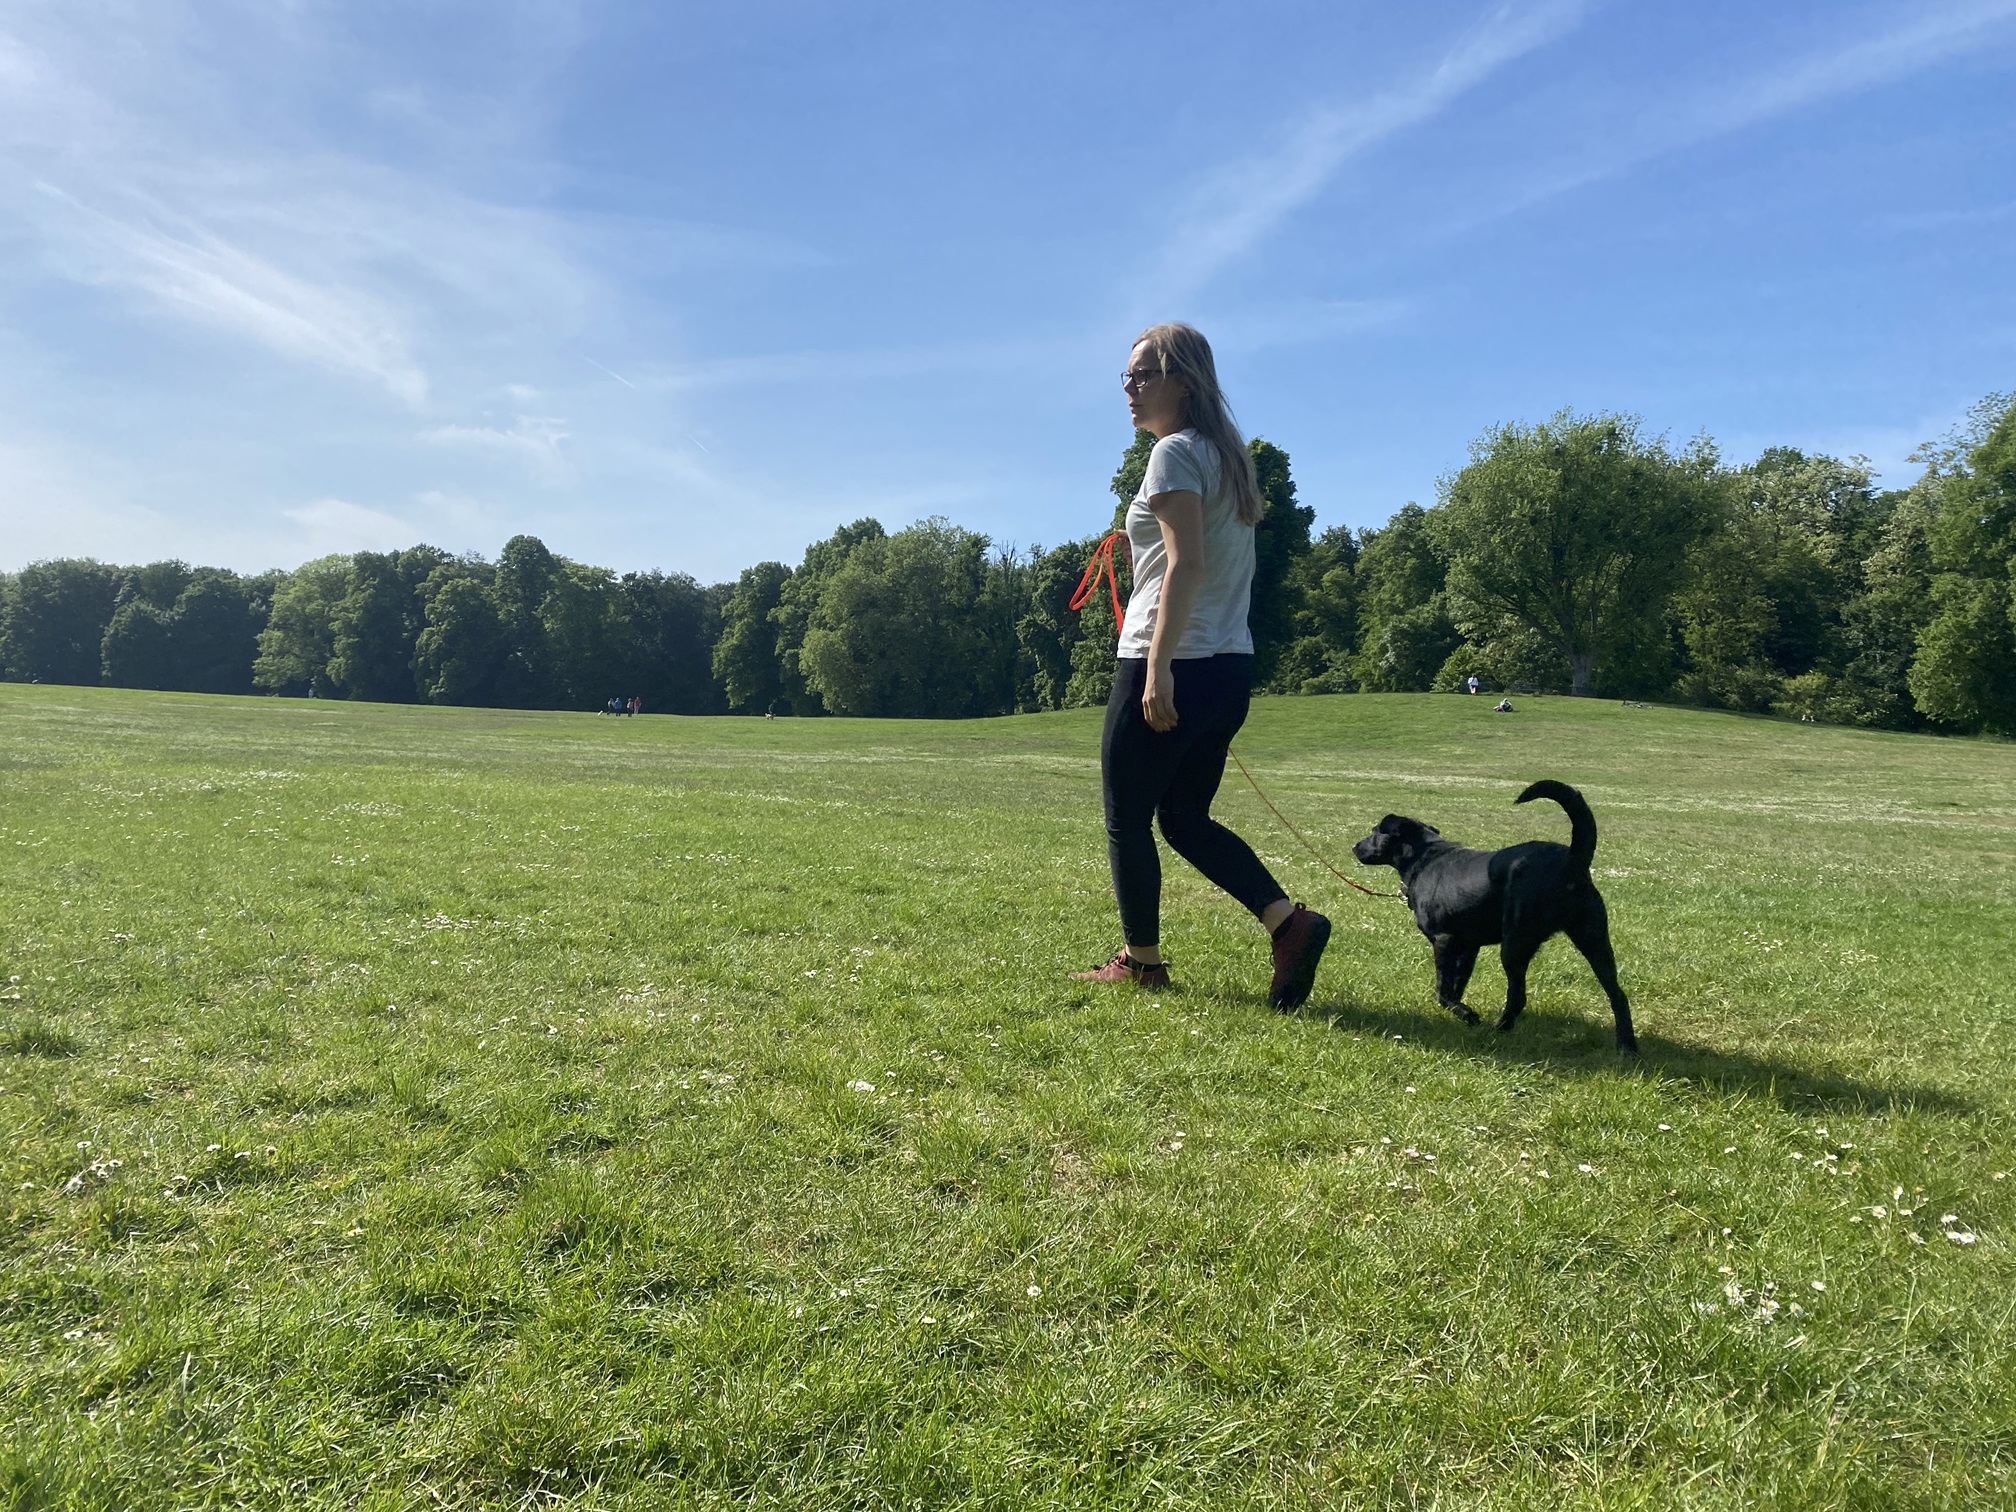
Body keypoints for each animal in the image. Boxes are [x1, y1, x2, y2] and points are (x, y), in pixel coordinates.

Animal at [1346, 782, 1628, 1056]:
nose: (1354, 846)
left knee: (1517, 996)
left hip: (1516, 943)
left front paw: (1468, 1015)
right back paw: (1628, 1049)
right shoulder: (1469, 946)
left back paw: (1499, 1028)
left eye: (1375, 831)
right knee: (1618, 994)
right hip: (1594, 939)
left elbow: (1442, 989)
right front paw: (1462, 1014)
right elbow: (1456, 985)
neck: (1424, 859)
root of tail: (1572, 860)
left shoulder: (1443, 940)